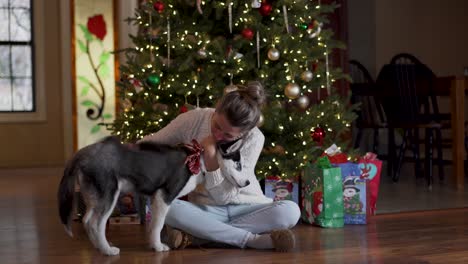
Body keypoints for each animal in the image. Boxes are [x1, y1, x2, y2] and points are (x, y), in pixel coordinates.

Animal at [57, 135, 207, 255]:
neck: (196, 158)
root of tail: (83, 153)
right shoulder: (164, 196)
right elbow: (158, 224)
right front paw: (158, 247)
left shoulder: (154, 198)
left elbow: (152, 224)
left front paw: (153, 244)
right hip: (109, 194)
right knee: (95, 223)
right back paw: (107, 250)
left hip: (94, 196)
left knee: (86, 220)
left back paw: (99, 247)